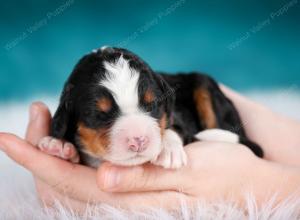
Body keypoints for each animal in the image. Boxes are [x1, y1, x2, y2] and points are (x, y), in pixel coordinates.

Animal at [38, 46, 262, 168]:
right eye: (98, 114)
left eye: (152, 104)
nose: (138, 140)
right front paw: (59, 145)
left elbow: (175, 129)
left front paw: (167, 150)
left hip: (204, 84)